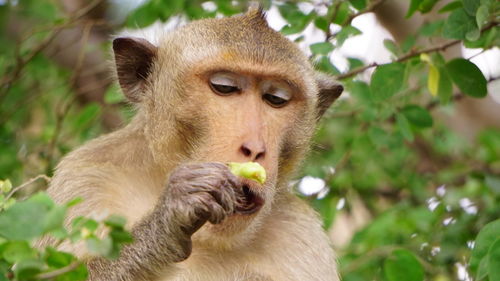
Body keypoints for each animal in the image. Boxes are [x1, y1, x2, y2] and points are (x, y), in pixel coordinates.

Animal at [43, 4, 344, 280]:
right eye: (224, 87)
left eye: (276, 99)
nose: (255, 149)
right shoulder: (86, 177)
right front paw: (170, 216)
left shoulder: (300, 231)